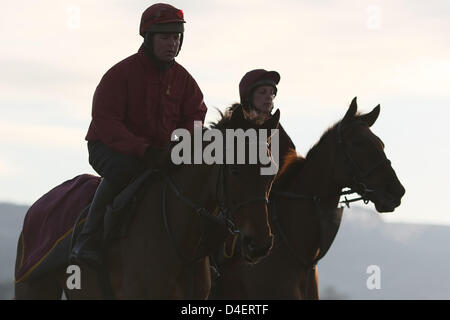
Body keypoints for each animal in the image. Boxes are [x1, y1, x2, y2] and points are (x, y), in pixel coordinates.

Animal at [14, 106, 280, 298]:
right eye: (235, 170)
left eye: (271, 172)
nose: (260, 244)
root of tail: (36, 208)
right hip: (33, 288)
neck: (181, 240)